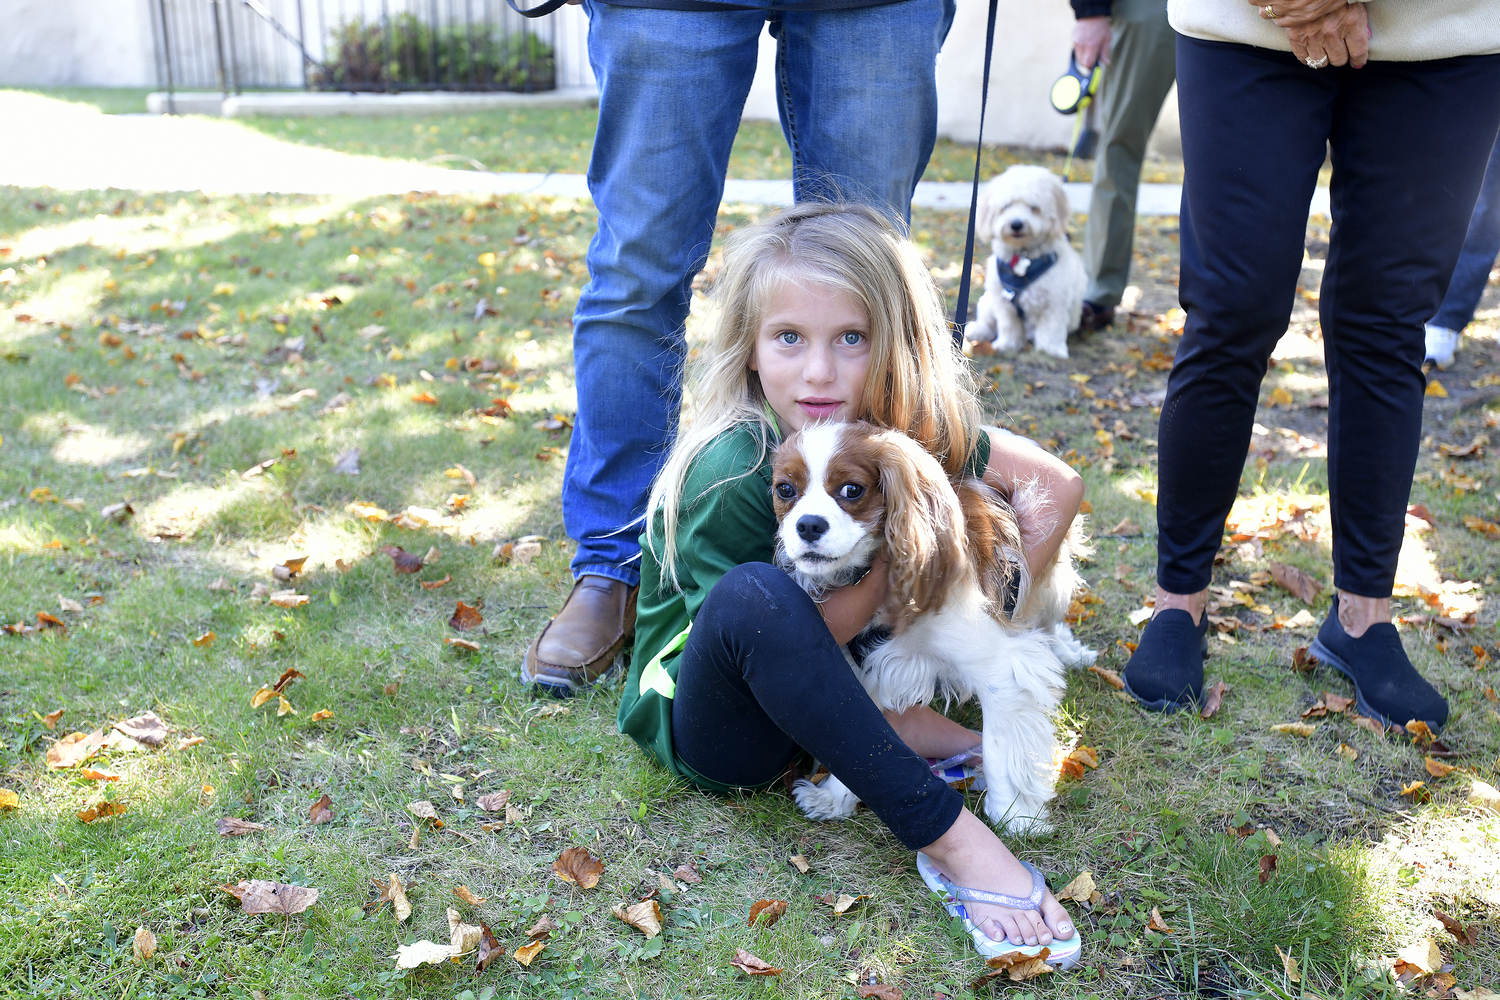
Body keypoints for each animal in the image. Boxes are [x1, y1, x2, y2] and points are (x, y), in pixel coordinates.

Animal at [768, 422, 1098, 839]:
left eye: (852, 490)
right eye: (785, 490)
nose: (808, 524)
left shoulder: (1000, 667)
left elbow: (999, 747)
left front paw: (1015, 815)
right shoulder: (866, 666)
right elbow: (865, 739)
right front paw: (834, 796)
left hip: (1051, 580)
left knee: (1049, 622)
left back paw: (1073, 653)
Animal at [966, 166, 1086, 361]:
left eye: (1034, 208)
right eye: (1007, 206)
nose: (1016, 224)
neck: (1023, 254)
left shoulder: (1055, 303)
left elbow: (1051, 328)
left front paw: (1051, 349)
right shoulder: (1003, 301)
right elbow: (1008, 325)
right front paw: (1007, 344)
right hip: (988, 301)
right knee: (988, 322)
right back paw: (977, 331)